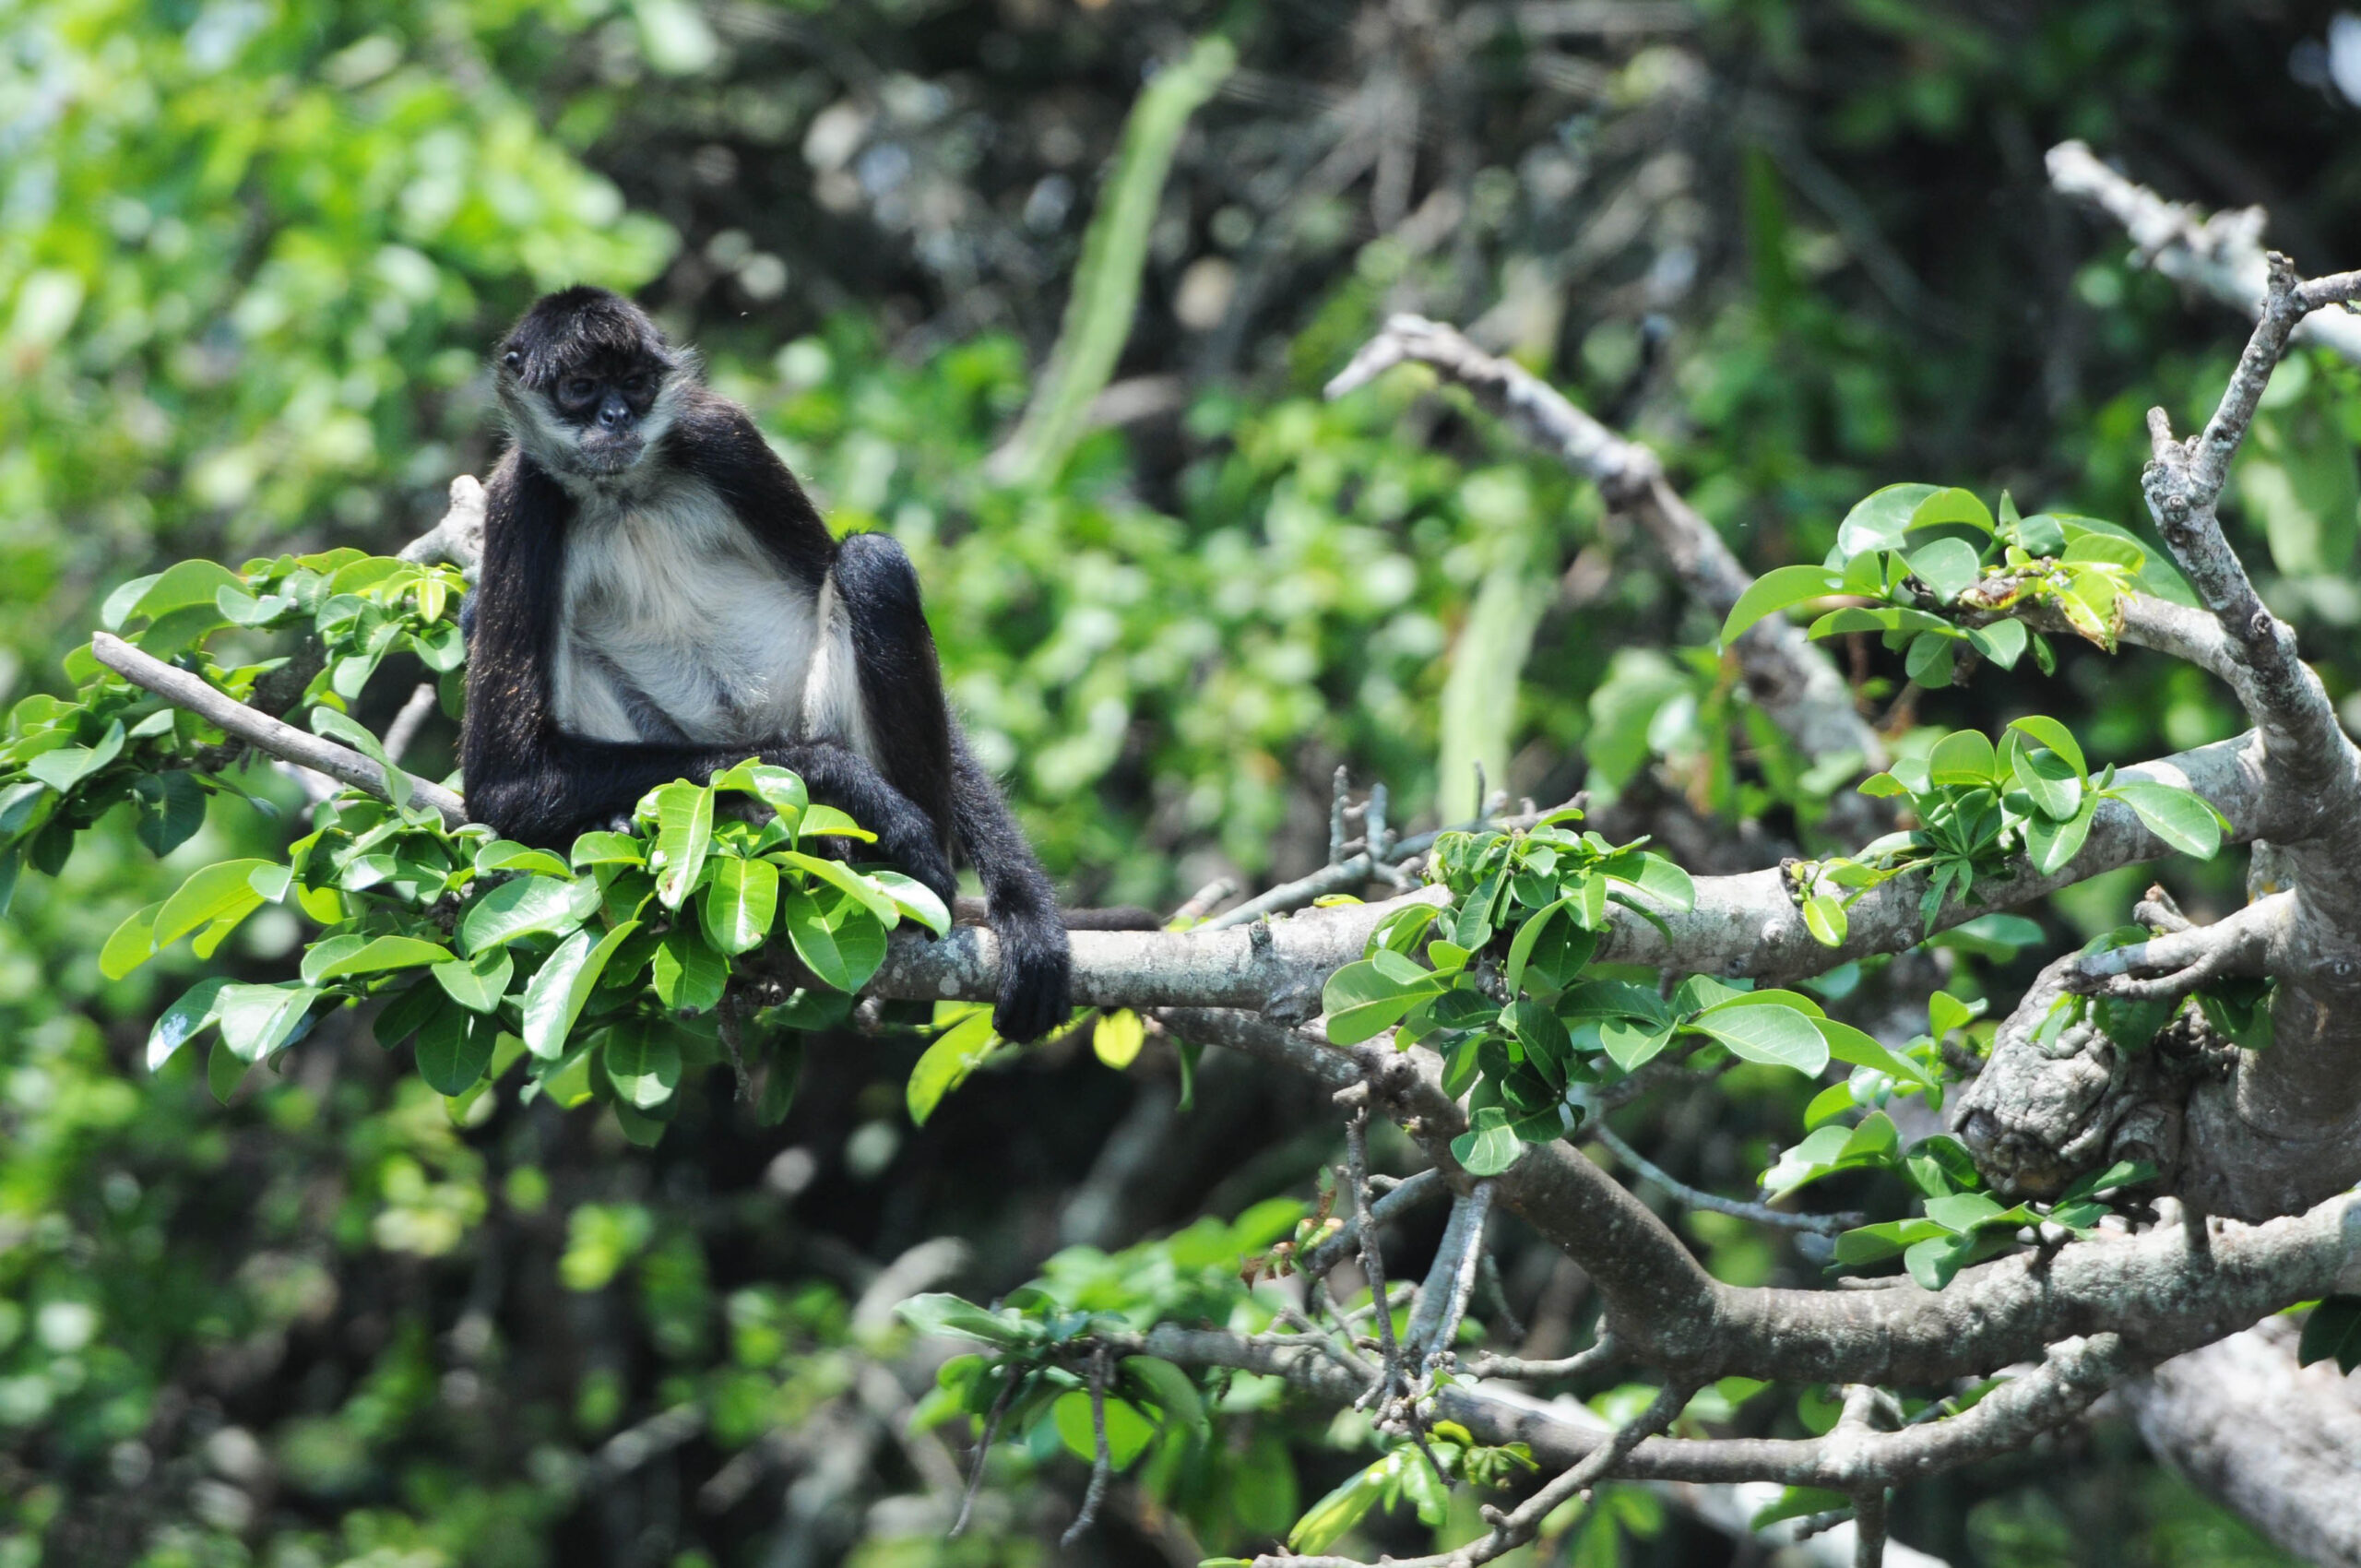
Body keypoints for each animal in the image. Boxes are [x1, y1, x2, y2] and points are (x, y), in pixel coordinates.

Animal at [460, 284, 1072, 1039]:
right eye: (580, 388)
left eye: (633, 384)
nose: (615, 417)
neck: (620, 490)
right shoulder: (520, 501)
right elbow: (504, 783)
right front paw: (848, 782)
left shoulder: (721, 436)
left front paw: (1027, 912)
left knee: (872, 564)